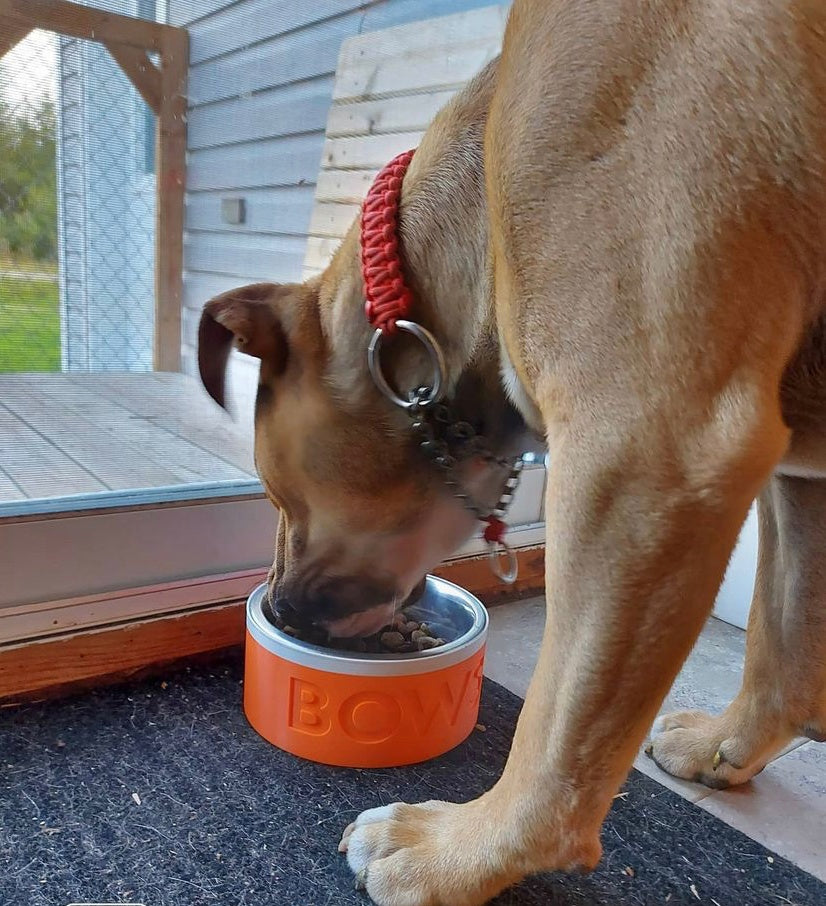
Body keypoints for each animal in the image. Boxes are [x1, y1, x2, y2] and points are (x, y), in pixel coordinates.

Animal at [200, 3, 824, 900]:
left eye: (278, 495)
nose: (277, 612)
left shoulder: (645, 453)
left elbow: (558, 731)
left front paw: (461, 851)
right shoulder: (800, 476)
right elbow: (784, 632)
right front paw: (730, 746)